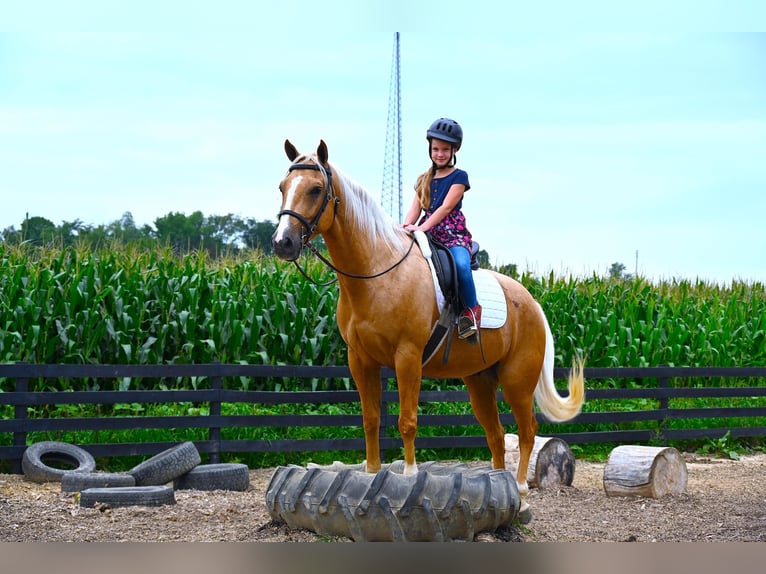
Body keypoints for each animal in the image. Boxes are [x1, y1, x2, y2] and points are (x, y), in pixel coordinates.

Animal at [272, 141, 584, 516]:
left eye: (316, 189)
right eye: (283, 187)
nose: (282, 243)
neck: (376, 273)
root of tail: (533, 303)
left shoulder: (407, 357)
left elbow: (407, 420)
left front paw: (408, 475)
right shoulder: (360, 360)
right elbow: (371, 418)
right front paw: (372, 472)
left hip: (517, 381)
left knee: (526, 431)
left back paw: (520, 491)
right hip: (480, 381)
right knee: (496, 434)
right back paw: (500, 484)